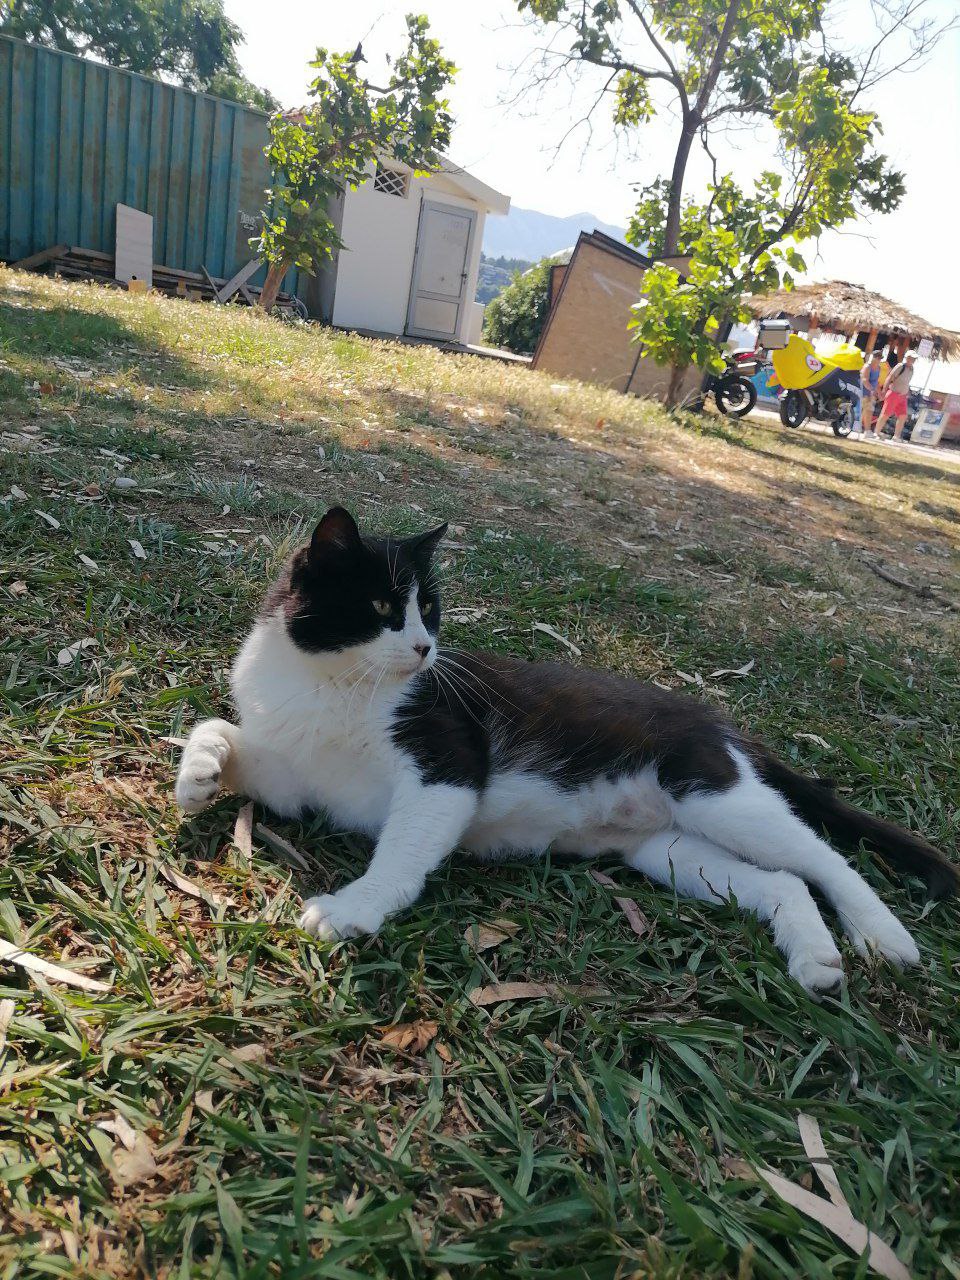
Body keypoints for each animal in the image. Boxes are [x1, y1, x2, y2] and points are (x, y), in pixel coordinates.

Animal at [175, 506, 957, 994]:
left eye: (429, 610)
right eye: (380, 609)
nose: (426, 649)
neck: (331, 683)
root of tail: (716, 720)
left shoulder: (446, 765)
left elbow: (402, 852)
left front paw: (354, 909)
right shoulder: (299, 780)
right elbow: (238, 744)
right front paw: (200, 772)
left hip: (713, 791)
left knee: (822, 858)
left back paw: (881, 935)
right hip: (672, 849)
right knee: (782, 881)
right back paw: (816, 955)